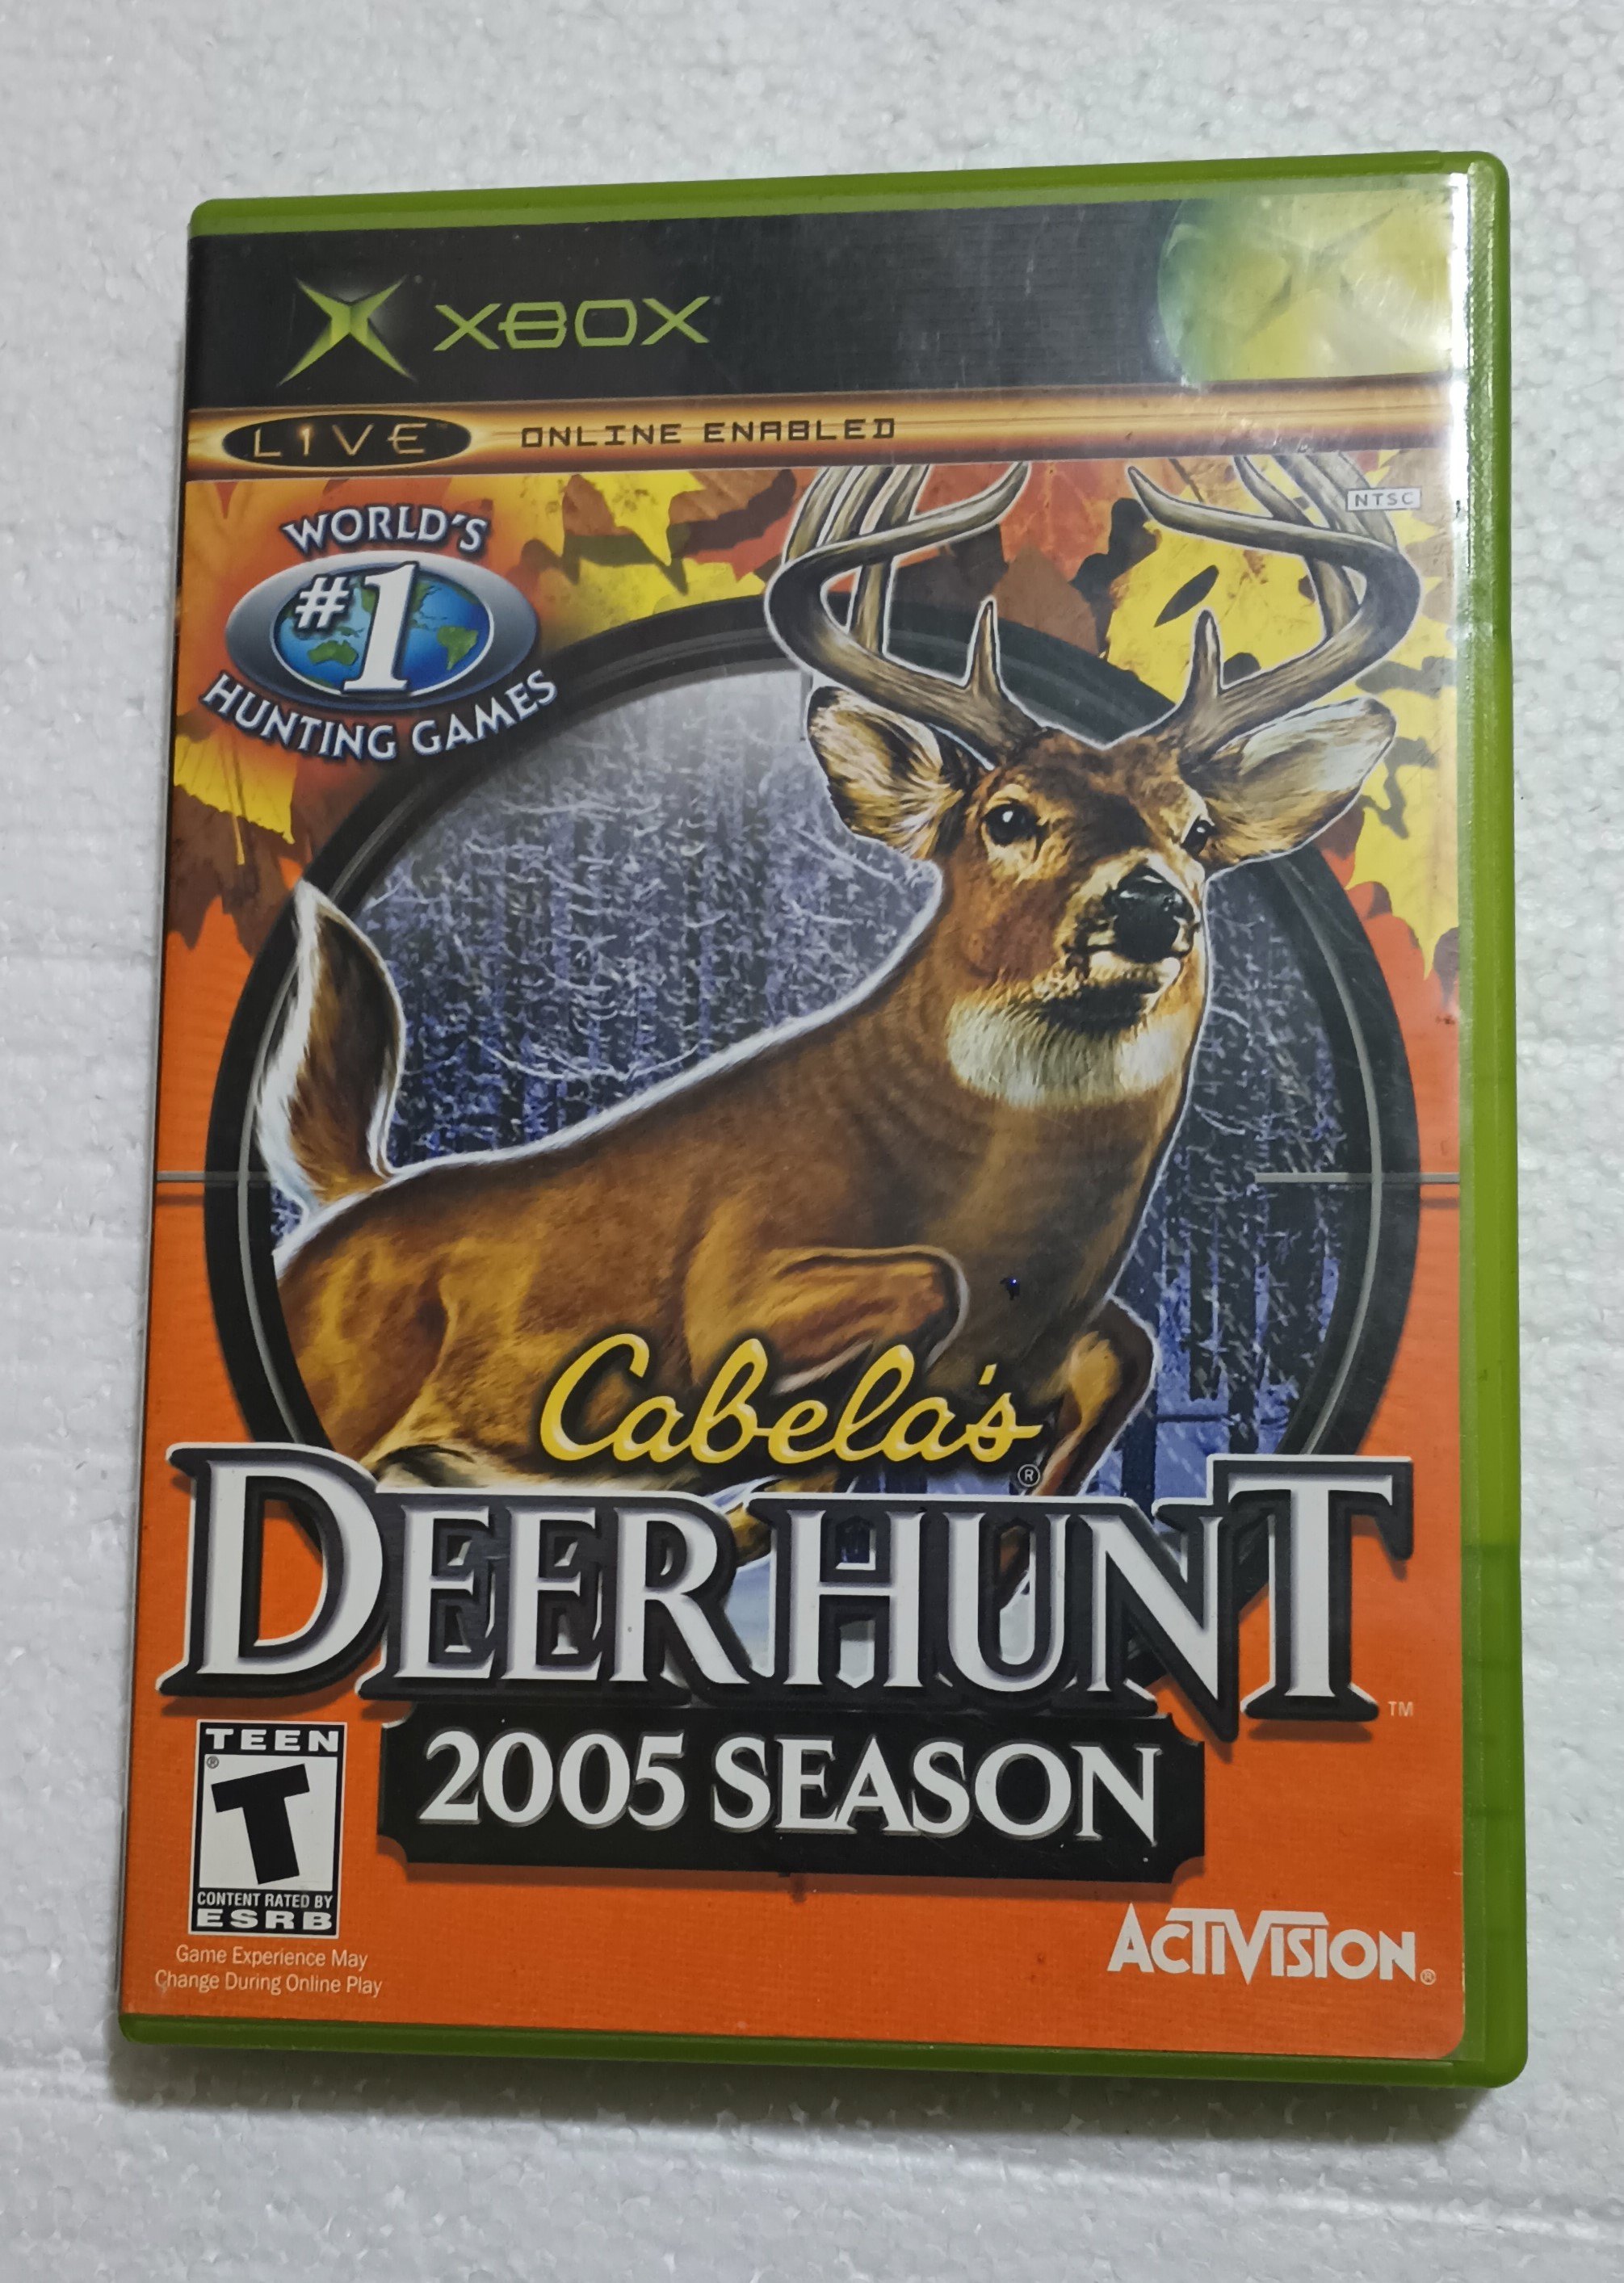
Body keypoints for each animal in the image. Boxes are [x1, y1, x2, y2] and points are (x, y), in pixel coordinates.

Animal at [257, 451, 1419, 1550]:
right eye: (1005, 815)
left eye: (1195, 829)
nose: (1148, 904)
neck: (1018, 1255)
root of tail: (351, 1205)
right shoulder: (729, 1295)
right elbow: (914, 1295)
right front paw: (769, 1487)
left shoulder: (1052, 1350)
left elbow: (1120, 1362)